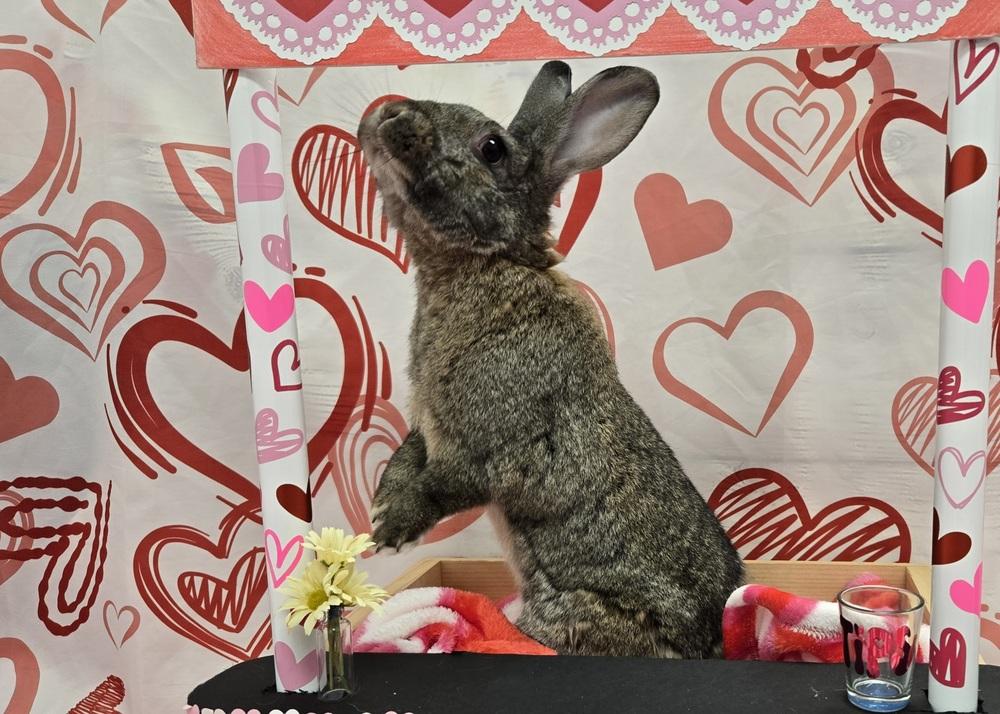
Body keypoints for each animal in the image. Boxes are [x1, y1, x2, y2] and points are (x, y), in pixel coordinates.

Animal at [357, 60, 744, 659]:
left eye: (492, 147)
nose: (388, 113)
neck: (489, 263)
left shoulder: (493, 447)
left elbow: (445, 483)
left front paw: (394, 532)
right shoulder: (426, 425)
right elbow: (404, 460)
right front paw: (380, 517)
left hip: (575, 612)